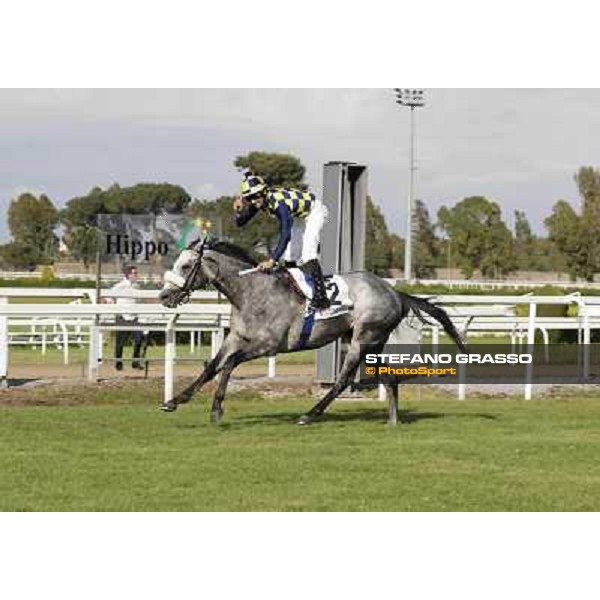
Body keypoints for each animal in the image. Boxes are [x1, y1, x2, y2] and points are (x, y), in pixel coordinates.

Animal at [158, 237, 464, 424]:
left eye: (186, 265)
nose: (164, 296)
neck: (251, 292)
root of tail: (395, 292)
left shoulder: (268, 344)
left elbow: (229, 365)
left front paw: (216, 408)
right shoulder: (237, 337)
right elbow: (212, 367)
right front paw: (174, 400)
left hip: (363, 338)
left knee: (342, 380)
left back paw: (310, 414)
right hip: (371, 341)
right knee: (388, 377)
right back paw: (392, 420)